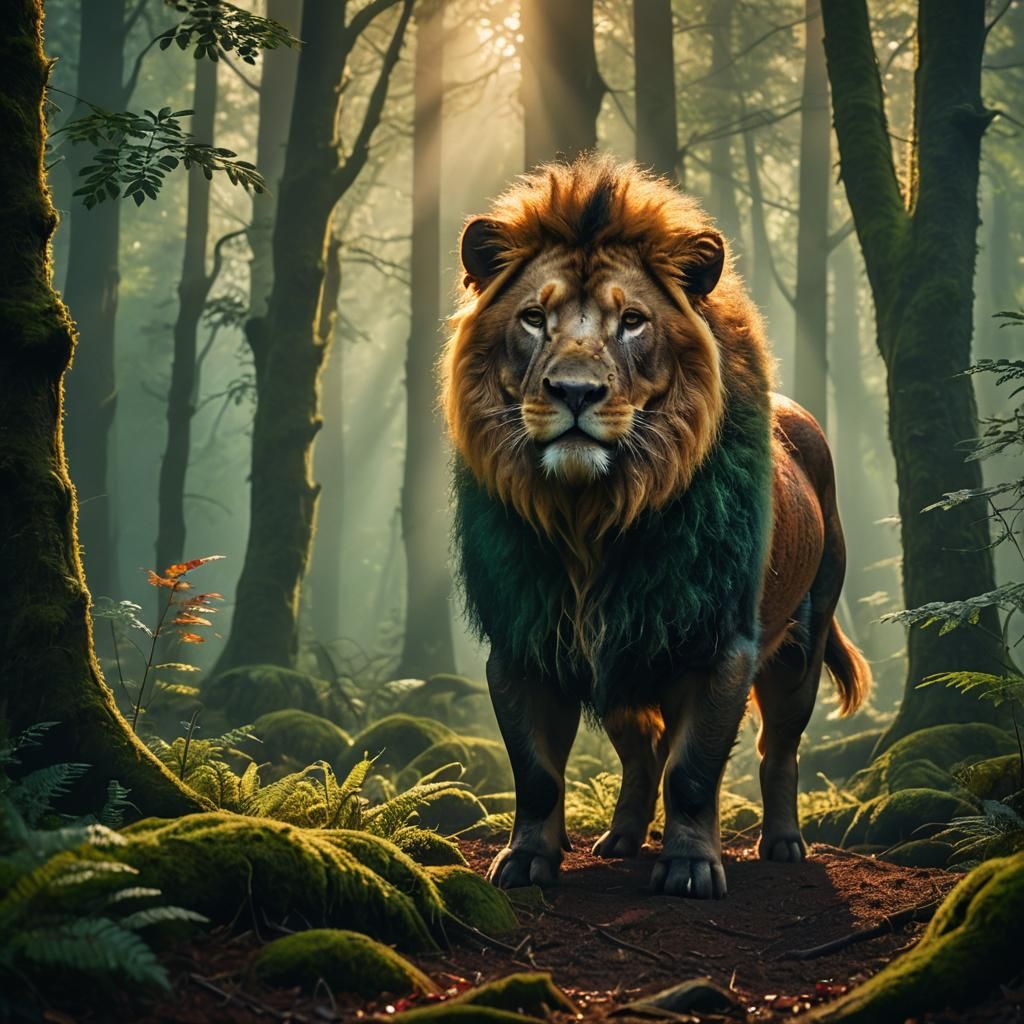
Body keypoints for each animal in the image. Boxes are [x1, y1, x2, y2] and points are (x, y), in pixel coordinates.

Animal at [441, 156, 870, 900]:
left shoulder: (719, 646)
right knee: (643, 754)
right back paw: (619, 839)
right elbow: (537, 773)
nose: (575, 392)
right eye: (534, 318)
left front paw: (691, 868)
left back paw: (784, 844)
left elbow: (695, 771)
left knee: (777, 751)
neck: (592, 513)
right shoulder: (522, 644)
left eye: (633, 321)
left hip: (800, 647)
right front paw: (526, 860)